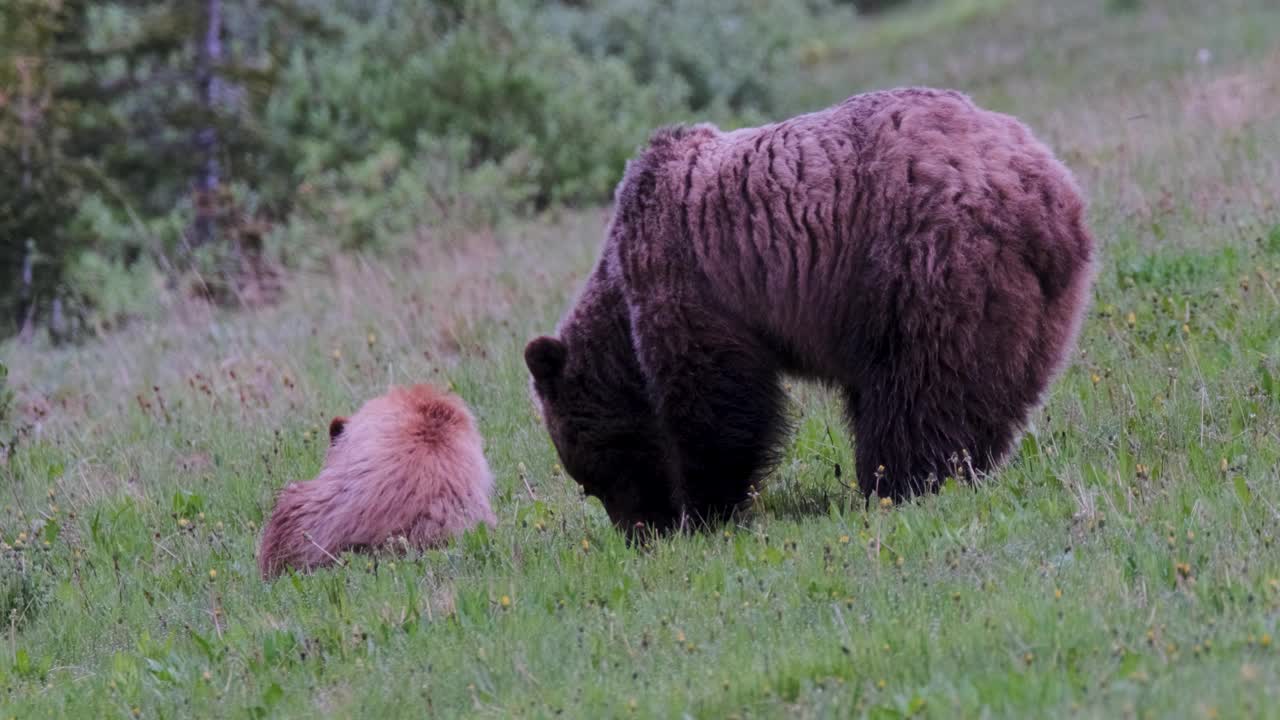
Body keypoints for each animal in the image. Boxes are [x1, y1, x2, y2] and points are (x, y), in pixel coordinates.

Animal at [524, 85, 1095, 532]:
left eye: (593, 475)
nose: (639, 533)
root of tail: (1049, 192)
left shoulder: (689, 283)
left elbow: (715, 401)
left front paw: (705, 508)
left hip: (926, 264)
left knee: (920, 388)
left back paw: (898, 481)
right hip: (1036, 305)